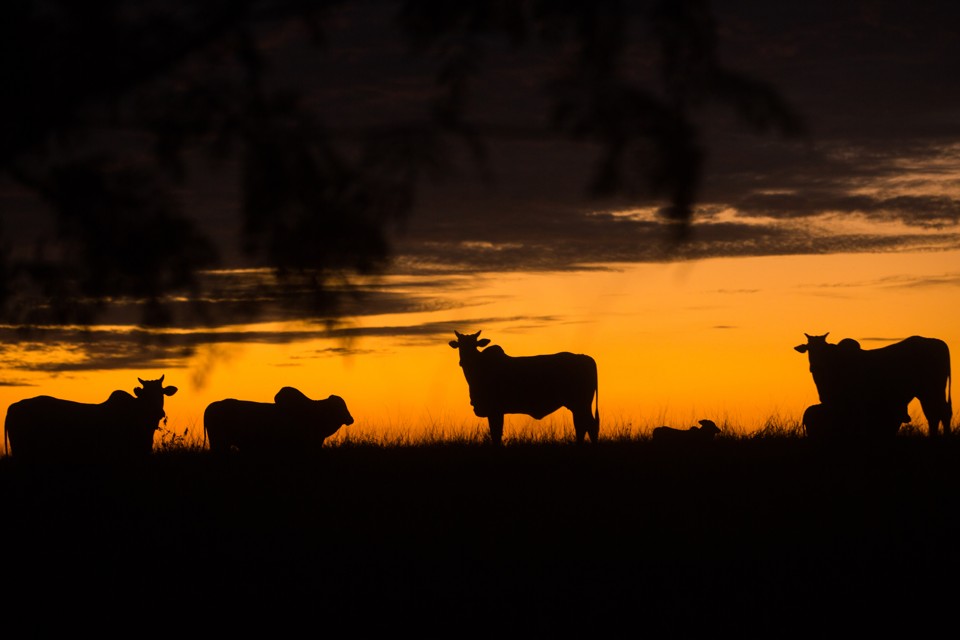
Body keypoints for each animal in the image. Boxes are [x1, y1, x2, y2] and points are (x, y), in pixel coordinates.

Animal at [446, 330, 596, 444]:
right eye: (460, 346)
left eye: (474, 345)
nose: (465, 361)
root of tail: (584, 357)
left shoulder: (495, 410)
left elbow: (496, 434)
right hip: (579, 405)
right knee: (582, 425)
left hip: (581, 404)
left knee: (589, 425)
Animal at [796, 332, 952, 438]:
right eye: (809, 348)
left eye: (823, 349)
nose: (814, 366)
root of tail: (938, 343)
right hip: (929, 393)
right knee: (936, 415)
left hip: (931, 391)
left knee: (939, 414)